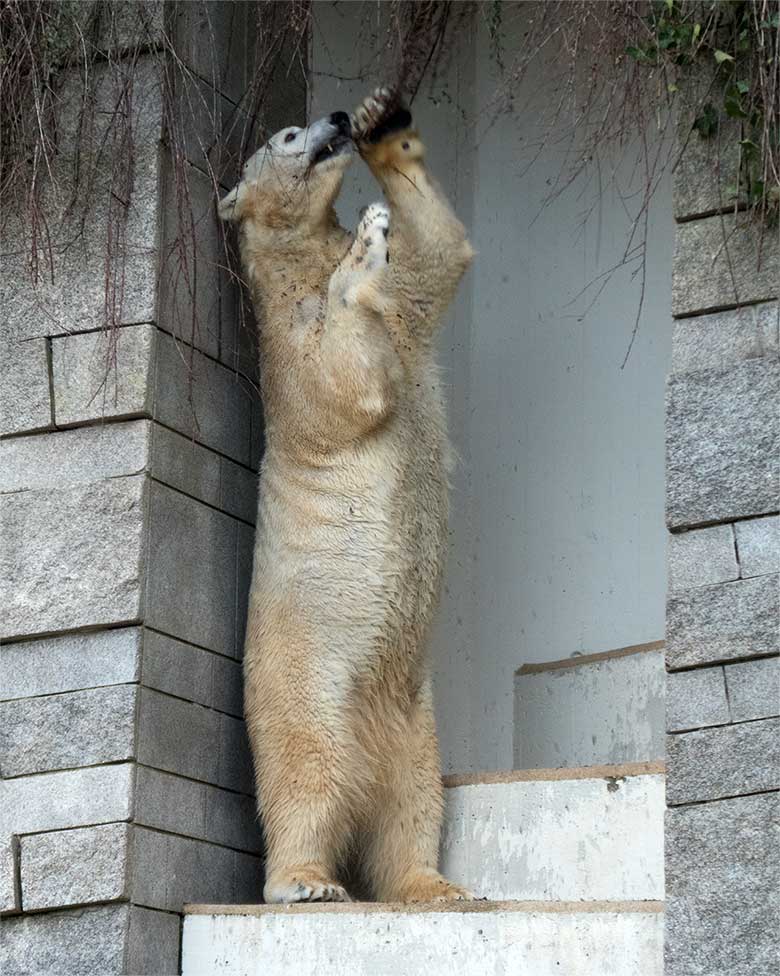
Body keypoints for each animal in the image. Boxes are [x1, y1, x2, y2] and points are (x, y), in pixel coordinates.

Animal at [221, 87, 476, 904]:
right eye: (285, 135)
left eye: (313, 120)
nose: (331, 121)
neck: (301, 260)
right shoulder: (283, 344)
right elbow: (342, 387)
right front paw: (365, 239)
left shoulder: (406, 310)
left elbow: (440, 258)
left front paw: (384, 129)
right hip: (305, 681)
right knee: (308, 774)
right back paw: (306, 881)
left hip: (412, 715)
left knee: (414, 802)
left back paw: (433, 885)